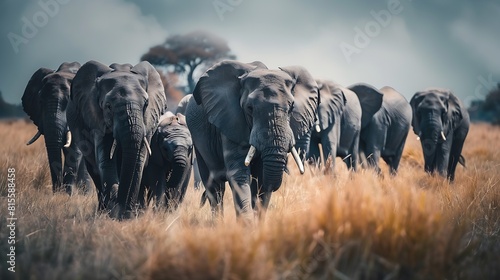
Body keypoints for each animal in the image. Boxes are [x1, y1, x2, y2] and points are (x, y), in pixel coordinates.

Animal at [21, 61, 89, 194]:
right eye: (40, 101)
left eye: (69, 103)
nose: (56, 190)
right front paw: (62, 194)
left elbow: (75, 150)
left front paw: (67, 194)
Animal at [67, 60, 168, 219]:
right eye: (108, 106)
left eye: (146, 104)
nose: (122, 211)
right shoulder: (96, 119)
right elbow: (106, 161)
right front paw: (116, 212)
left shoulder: (148, 121)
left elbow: (140, 159)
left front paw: (130, 215)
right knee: (94, 170)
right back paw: (102, 210)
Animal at [186, 60, 318, 222]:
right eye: (249, 108)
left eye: (292, 107)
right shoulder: (230, 120)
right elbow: (238, 174)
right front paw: (246, 225)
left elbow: (261, 178)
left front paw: (258, 223)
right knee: (214, 186)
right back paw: (218, 223)